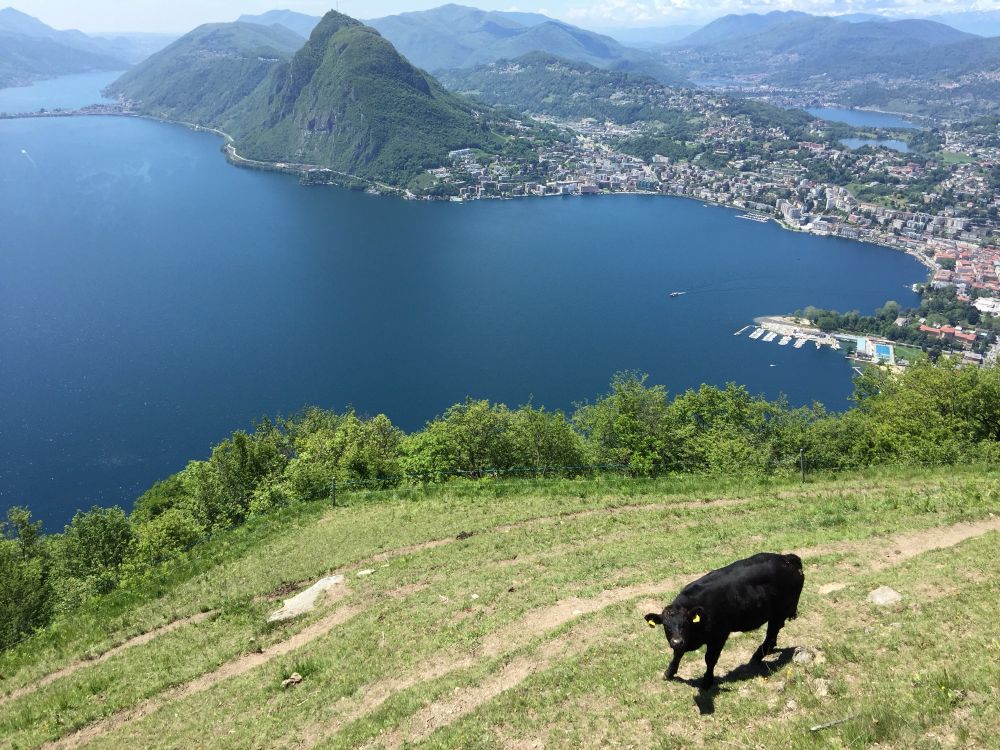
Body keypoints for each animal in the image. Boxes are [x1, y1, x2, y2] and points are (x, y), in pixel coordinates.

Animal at [644, 552, 804, 690]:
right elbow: (677, 654)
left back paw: (758, 655)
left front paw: (707, 681)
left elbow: (710, 659)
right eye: (666, 626)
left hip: (780, 612)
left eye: (685, 624)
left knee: (772, 632)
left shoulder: (719, 635)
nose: (677, 641)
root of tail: (787, 559)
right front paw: (669, 673)